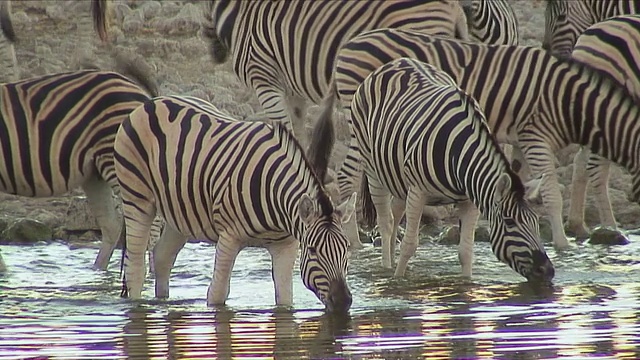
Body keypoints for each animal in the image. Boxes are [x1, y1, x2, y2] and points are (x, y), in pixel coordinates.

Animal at [0, 67, 158, 272]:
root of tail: (137, 88)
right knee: (112, 224)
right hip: (95, 173)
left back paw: (152, 272)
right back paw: (98, 270)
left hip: (120, 160)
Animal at [112, 95, 358, 312]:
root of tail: (152, 102)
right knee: (135, 267)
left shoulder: (285, 247)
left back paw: (163, 304)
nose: (343, 301)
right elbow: (217, 295)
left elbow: (285, 300)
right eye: (314, 250)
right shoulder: (229, 238)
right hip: (137, 199)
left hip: (179, 212)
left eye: (346, 249)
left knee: (162, 257)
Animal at [348, 57, 552, 282]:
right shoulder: (418, 192)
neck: (460, 158)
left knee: (395, 214)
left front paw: (466, 283)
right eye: (509, 222)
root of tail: (396, 62)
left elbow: (466, 251)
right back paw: (385, 269)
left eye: (535, 220)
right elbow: (410, 246)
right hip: (372, 167)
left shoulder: (470, 200)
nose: (547, 270)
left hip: (398, 178)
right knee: (386, 223)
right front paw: (398, 280)